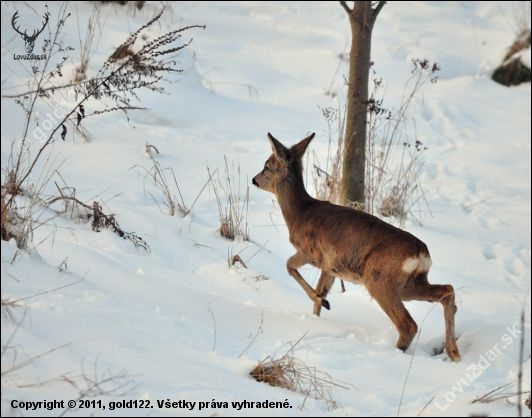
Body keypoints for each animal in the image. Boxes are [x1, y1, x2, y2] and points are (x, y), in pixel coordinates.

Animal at [254, 132, 462, 360]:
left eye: (266, 166)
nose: (254, 180)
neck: (299, 215)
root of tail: (421, 253)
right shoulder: (331, 268)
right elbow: (319, 293)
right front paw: (319, 309)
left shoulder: (311, 252)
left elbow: (289, 266)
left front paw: (323, 301)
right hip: (410, 283)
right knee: (447, 291)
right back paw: (453, 352)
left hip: (379, 280)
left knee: (408, 324)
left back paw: (397, 352)